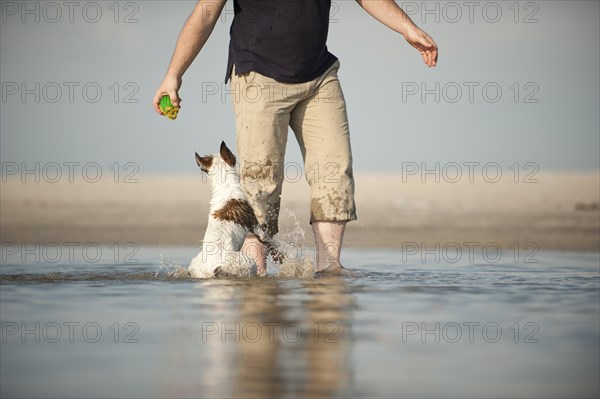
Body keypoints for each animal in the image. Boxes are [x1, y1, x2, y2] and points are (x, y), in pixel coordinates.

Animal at [188, 143, 282, 278]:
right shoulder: (257, 228)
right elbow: (269, 241)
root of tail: (211, 268)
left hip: (194, 265)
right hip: (248, 262)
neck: (225, 187)